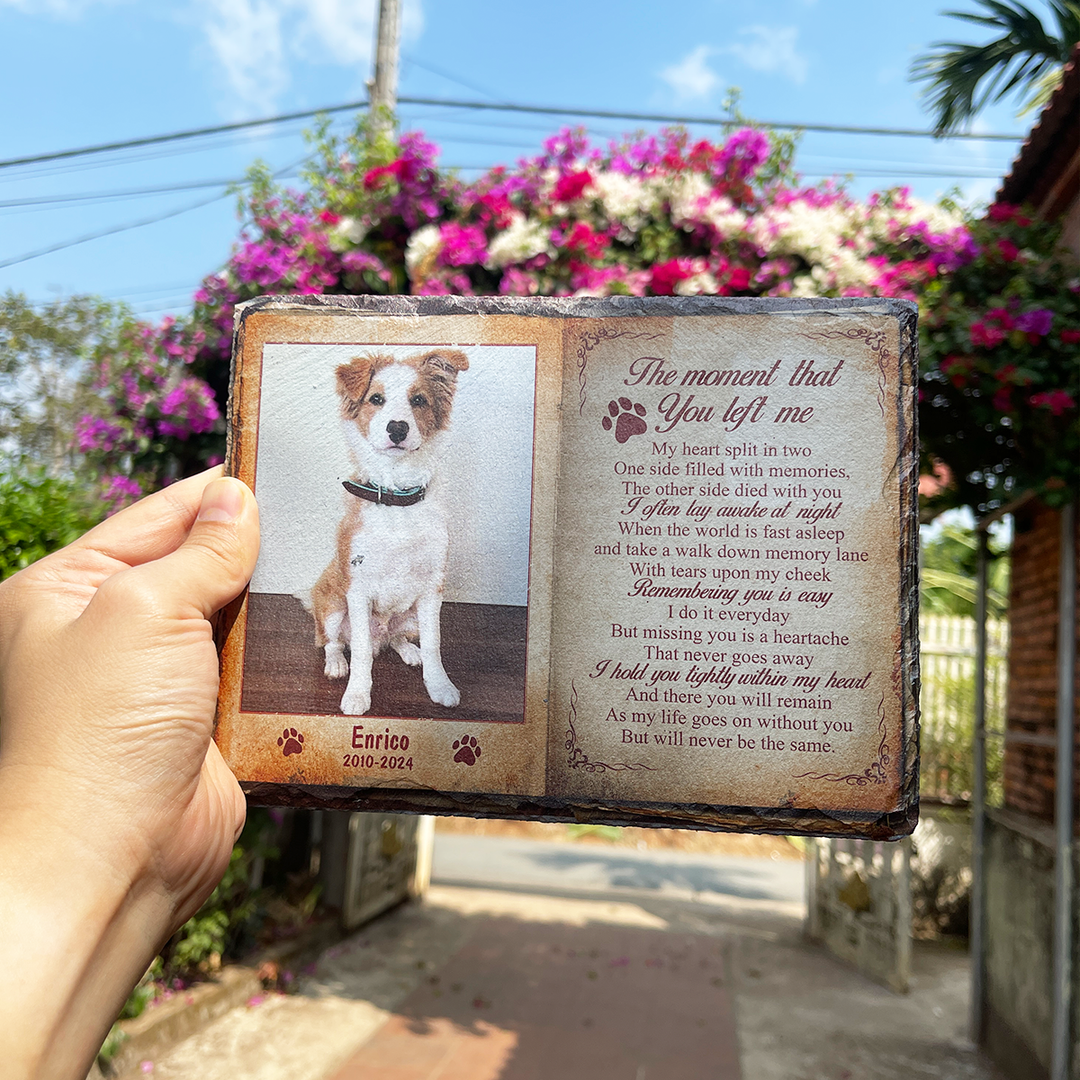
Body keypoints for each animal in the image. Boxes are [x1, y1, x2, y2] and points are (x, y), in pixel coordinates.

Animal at [308, 347, 468, 717]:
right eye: (376, 399)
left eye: (419, 400)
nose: (397, 428)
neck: (397, 500)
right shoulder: (358, 588)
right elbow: (361, 650)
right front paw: (357, 695)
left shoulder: (432, 588)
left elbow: (435, 644)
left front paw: (440, 686)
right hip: (332, 607)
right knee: (332, 641)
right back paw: (336, 664)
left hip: (408, 617)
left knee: (396, 638)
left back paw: (410, 652)